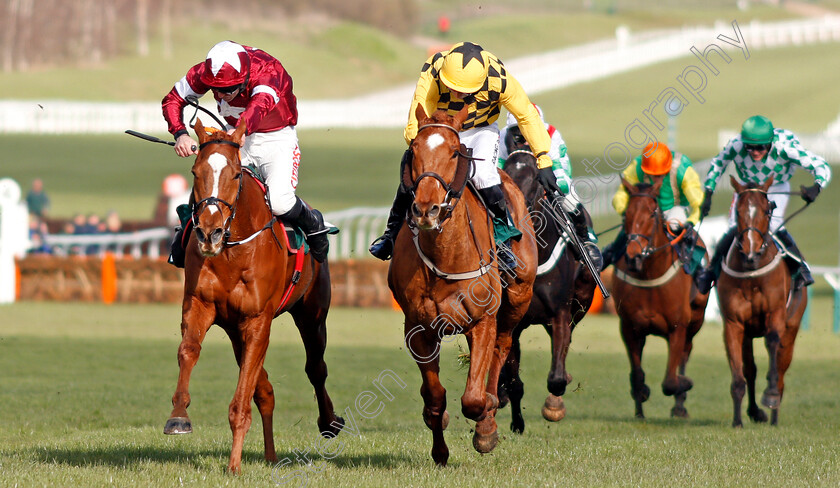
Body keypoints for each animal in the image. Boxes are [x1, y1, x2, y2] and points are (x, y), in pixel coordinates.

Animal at [166, 118, 342, 472]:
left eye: (235, 174)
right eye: (195, 171)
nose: (209, 232)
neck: (233, 250)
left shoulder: (258, 321)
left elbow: (242, 399)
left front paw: (233, 465)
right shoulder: (201, 305)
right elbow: (189, 350)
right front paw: (178, 417)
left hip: (312, 316)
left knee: (316, 368)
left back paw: (329, 422)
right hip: (236, 330)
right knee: (266, 390)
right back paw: (271, 455)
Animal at [388, 106, 536, 466]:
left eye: (454, 153)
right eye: (414, 151)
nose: (426, 209)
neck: (446, 255)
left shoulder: (482, 321)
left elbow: (473, 398)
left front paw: (486, 431)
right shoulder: (419, 328)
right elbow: (434, 397)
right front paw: (439, 448)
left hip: (517, 300)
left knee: (501, 349)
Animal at [498, 148, 596, 430]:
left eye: (535, 183)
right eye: (507, 175)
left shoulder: (560, 314)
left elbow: (556, 378)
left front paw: (554, 405)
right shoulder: (513, 323)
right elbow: (514, 381)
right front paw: (516, 421)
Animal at [612, 179, 708, 420]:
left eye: (651, 213)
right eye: (627, 214)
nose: (633, 256)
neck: (649, 275)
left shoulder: (678, 327)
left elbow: (670, 381)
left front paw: (684, 385)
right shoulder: (629, 328)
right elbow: (637, 374)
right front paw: (640, 404)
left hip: (694, 323)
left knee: (684, 355)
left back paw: (680, 405)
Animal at [716, 176, 808, 428]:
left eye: (767, 211)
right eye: (738, 211)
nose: (751, 253)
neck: (752, 274)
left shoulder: (775, 316)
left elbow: (772, 344)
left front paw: (771, 396)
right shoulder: (734, 323)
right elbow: (740, 374)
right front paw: (738, 421)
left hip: (792, 328)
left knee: (782, 370)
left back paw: (774, 415)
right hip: (748, 334)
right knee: (751, 370)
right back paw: (755, 412)